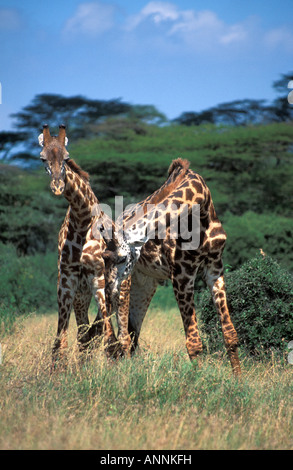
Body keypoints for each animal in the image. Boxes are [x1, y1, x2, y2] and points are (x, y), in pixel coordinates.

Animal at [37, 125, 137, 364]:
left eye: (66, 157)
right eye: (42, 158)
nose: (57, 186)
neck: (81, 220)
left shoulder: (97, 277)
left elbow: (109, 339)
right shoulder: (66, 281)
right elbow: (62, 341)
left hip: (121, 292)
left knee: (121, 336)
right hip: (82, 297)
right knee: (86, 334)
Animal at [101, 160, 241, 376]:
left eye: (122, 257)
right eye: (105, 258)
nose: (109, 288)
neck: (202, 209)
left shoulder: (215, 268)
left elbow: (230, 334)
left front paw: (238, 380)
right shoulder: (182, 273)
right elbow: (193, 343)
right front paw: (200, 380)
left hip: (144, 284)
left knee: (131, 336)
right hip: (126, 286)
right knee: (118, 338)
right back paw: (120, 375)